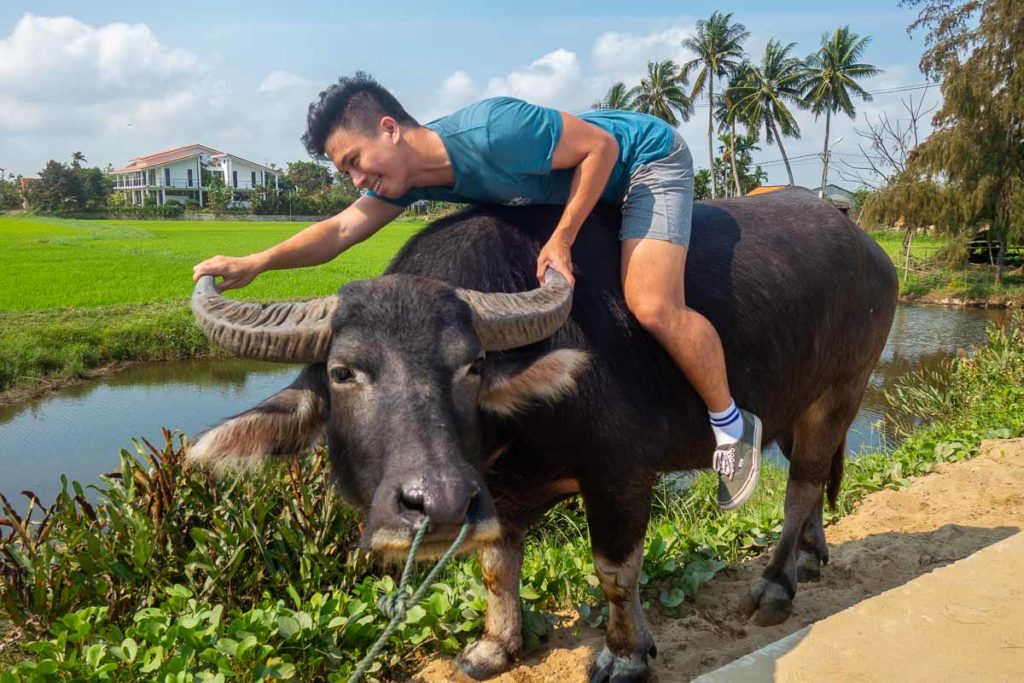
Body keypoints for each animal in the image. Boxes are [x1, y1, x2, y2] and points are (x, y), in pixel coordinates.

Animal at [190, 185, 897, 679]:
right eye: (343, 373)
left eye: (473, 366)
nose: (434, 505)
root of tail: (868, 247)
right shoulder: (495, 493)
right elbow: (496, 567)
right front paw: (494, 646)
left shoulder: (620, 475)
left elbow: (615, 569)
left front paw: (624, 655)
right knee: (815, 477)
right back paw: (812, 553)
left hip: (844, 389)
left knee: (802, 482)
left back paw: (776, 584)